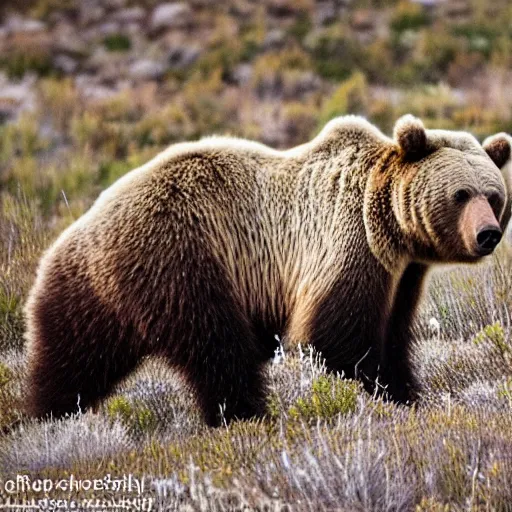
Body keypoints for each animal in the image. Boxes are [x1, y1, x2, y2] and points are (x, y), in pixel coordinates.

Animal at [25, 115, 512, 424]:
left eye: (494, 195)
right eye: (460, 194)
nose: (487, 234)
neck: (391, 231)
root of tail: (75, 232)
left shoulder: (403, 277)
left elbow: (391, 339)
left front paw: (407, 394)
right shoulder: (345, 248)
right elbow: (335, 339)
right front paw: (372, 394)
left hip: (91, 298)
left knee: (72, 361)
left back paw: (45, 416)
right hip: (179, 258)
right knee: (218, 350)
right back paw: (246, 417)